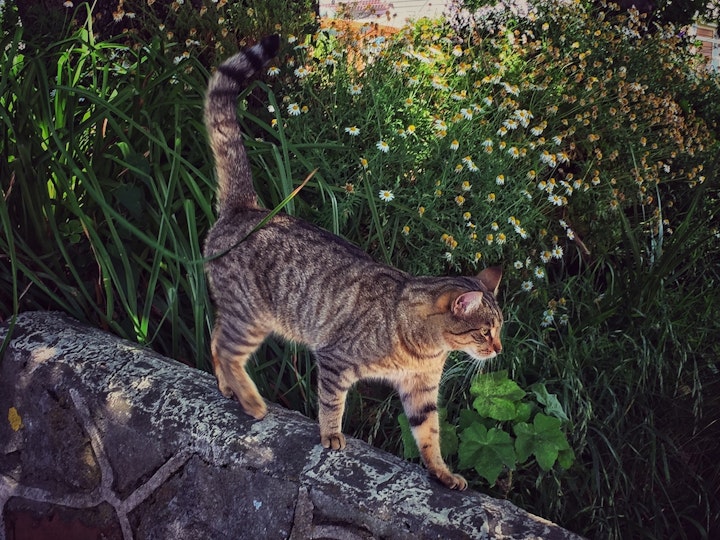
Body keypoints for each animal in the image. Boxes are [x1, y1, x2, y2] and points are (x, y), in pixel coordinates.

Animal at [202, 33, 504, 490]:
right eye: (484, 332)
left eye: (498, 330)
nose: (499, 349)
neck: (424, 347)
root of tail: (247, 208)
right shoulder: (335, 360)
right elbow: (332, 404)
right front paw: (331, 436)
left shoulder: (420, 391)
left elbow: (429, 434)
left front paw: (442, 472)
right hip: (251, 317)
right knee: (226, 347)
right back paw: (252, 401)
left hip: (241, 313)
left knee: (215, 339)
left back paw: (229, 390)